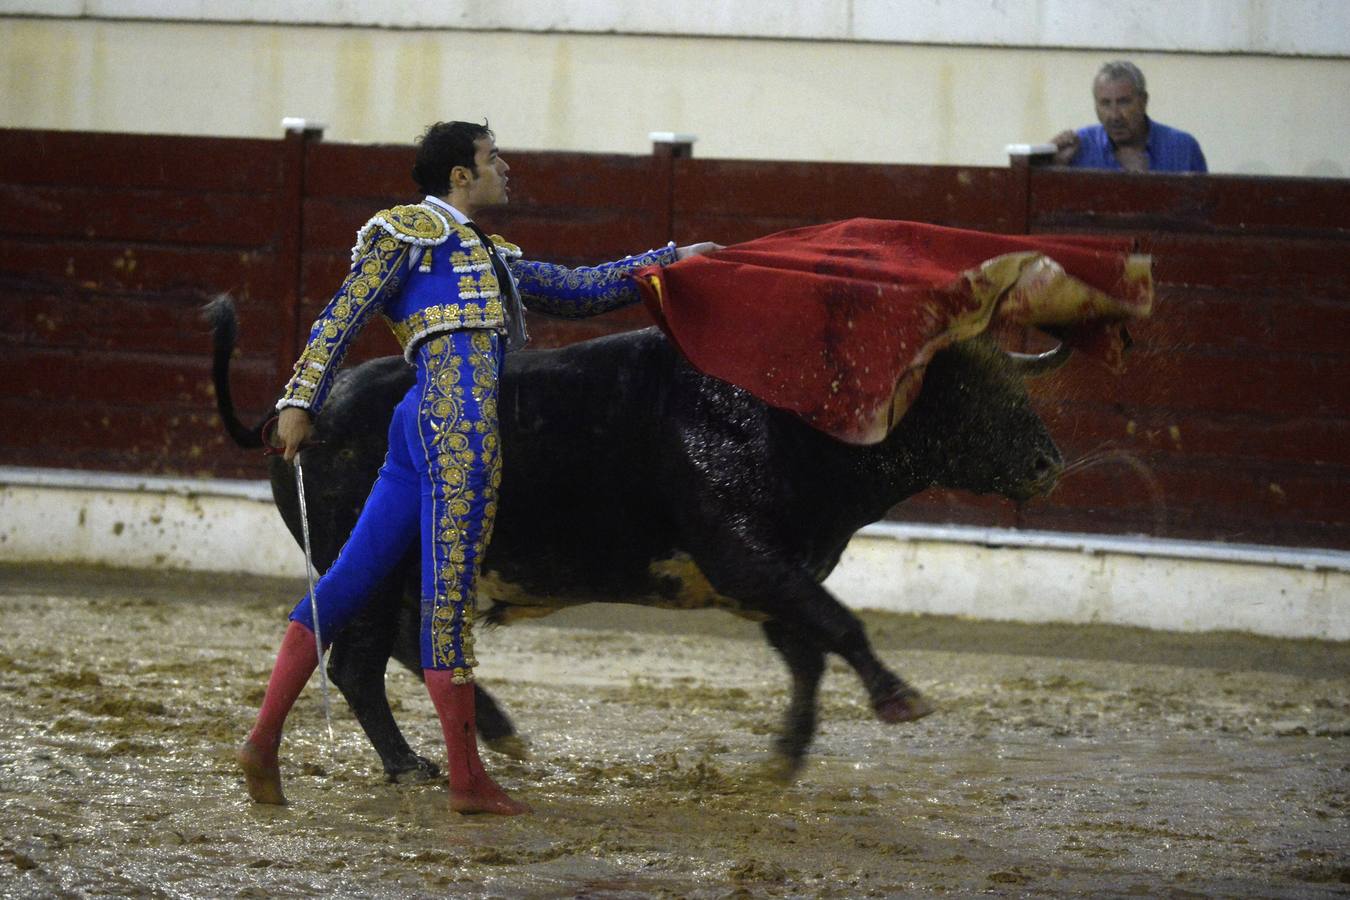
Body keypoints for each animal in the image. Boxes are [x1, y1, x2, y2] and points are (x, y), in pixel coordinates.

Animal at [207, 295, 1063, 782]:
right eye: (962, 394)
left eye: (1015, 387)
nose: (1050, 463)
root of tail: (303, 410)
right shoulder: (748, 557)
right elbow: (839, 625)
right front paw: (898, 698)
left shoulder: (766, 575)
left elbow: (809, 652)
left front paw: (786, 755)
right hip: (375, 564)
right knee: (359, 661)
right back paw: (412, 765)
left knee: (394, 650)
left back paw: (491, 737)